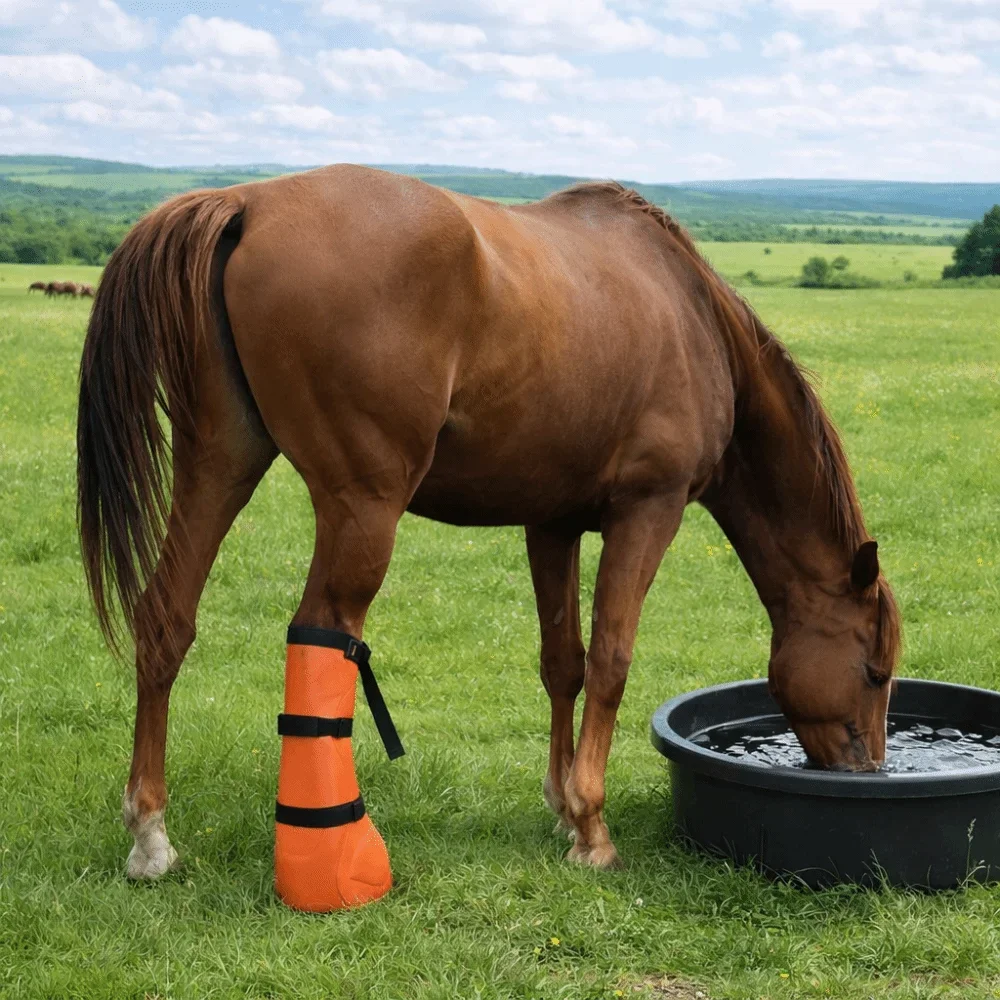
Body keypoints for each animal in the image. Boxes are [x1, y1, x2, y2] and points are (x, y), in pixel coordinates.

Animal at [77, 165, 901, 880]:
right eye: (873, 669)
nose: (868, 770)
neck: (691, 314)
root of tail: (247, 202)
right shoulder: (648, 512)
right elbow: (611, 660)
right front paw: (593, 828)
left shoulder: (553, 524)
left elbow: (563, 661)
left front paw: (564, 806)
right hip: (360, 511)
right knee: (321, 639)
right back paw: (333, 856)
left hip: (220, 465)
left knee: (166, 619)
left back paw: (151, 836)